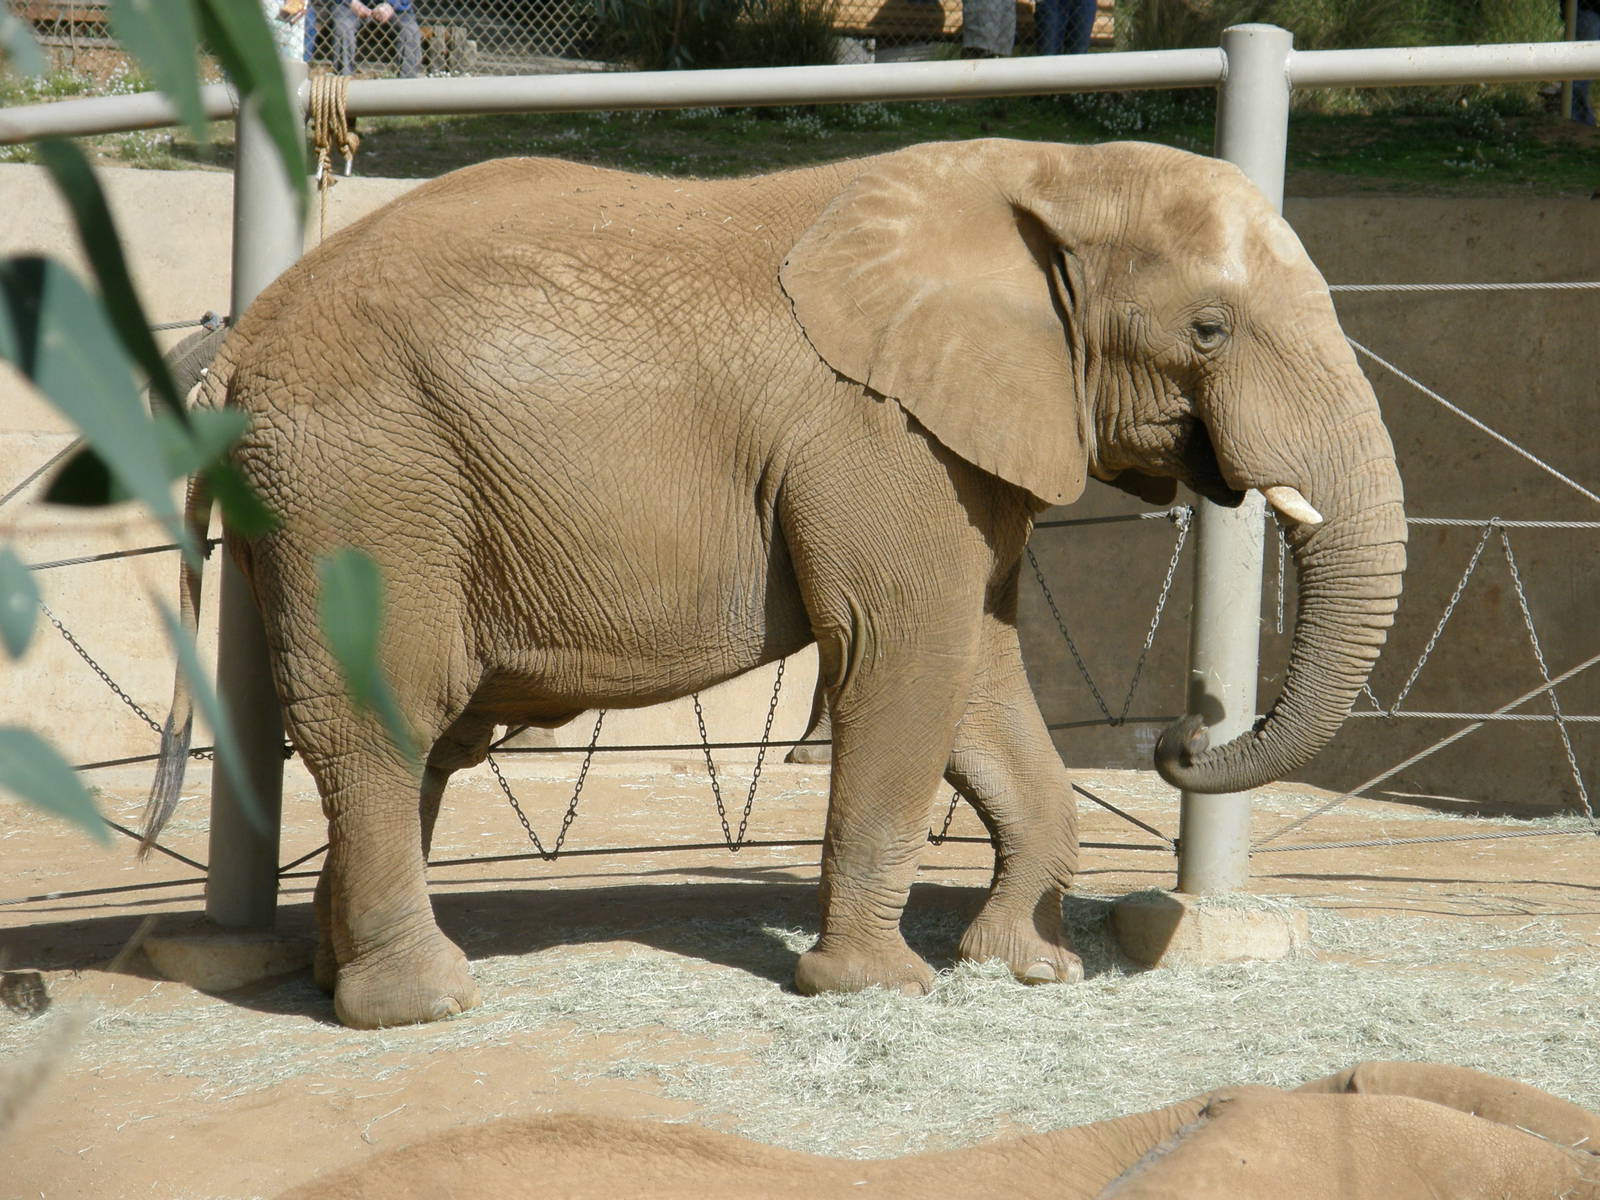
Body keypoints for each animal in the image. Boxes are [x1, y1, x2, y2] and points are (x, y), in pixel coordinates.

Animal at [145, 138, 1406, 1029]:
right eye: (1209, 329)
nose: (1182, 735)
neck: (1042, 172)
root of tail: (241, 345)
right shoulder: (879, 433)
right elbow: (905, 652)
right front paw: (878, 988)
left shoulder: (959, 447)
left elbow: (979, 671)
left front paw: (1030, 971)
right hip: (365, 480)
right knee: (385, 711)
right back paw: (424, 1004)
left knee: (418, 735)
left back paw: (335, 976)